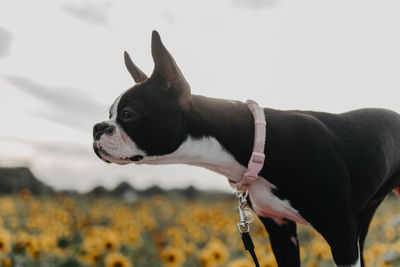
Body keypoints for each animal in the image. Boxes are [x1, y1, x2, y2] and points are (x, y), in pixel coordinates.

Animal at [92, 30, 400, 266]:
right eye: (109, 113)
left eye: (128, 114)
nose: (96, 128)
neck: (257, 143)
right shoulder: (280, 231)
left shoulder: (341, 235)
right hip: (362, 220)